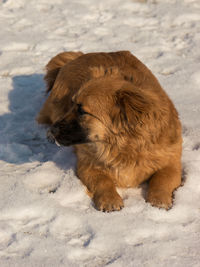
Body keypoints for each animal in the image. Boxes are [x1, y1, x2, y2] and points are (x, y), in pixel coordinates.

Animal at [36, 51, 182, 213]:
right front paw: (110, 199)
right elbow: (103, 181)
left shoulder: (172, 163)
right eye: (72, 104)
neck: (124, 147)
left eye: (82, 111)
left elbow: (162, 179)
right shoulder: (88, 165)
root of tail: (79, 55)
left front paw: (159, 200)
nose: (53, 130)